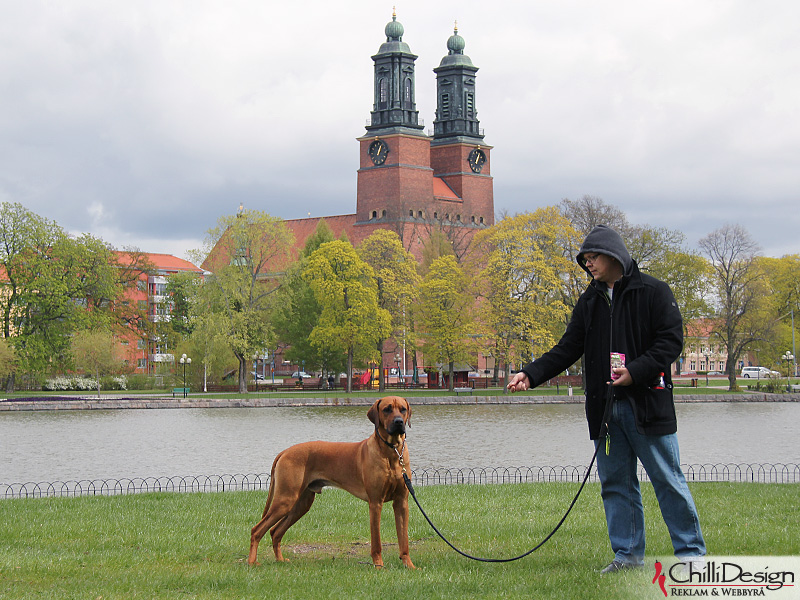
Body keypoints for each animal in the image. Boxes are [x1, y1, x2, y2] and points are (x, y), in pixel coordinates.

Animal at [247, 396, 416, 568]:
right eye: (387, 409)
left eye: (403, 409)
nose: (398, 422)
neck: (392, 452)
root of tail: (285, 451)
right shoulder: (375, 502)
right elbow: (376, 542)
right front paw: (379, 566)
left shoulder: (402, 502)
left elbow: (404, 540)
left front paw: (409, 565)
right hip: (285, 499)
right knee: (257, 530)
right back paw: (252, 562)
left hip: (301, 504)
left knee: (275, 531)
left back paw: (280, 560)